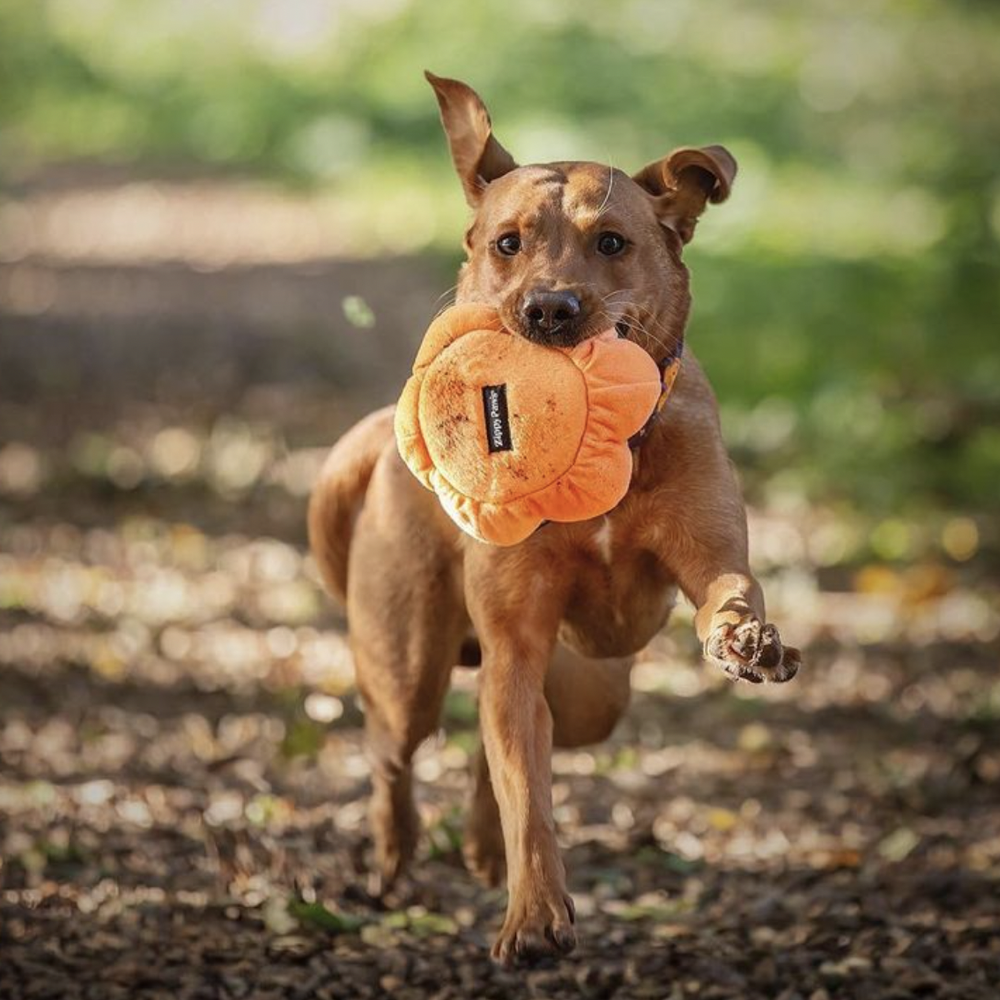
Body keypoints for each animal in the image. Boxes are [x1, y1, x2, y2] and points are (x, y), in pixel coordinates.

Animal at [308, 74, 800, 964]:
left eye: (611, 243)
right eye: (508, 243)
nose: (549, 310)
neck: (605, 449)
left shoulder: (706, 555)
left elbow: (729, 590)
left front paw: (748, 640)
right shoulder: (515, 641)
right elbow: (527, 796)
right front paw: (535, 915)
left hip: (591, 692)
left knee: (494, 744)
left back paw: (475, 845)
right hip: (407, 666)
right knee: (400, 751)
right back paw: (394, 854)